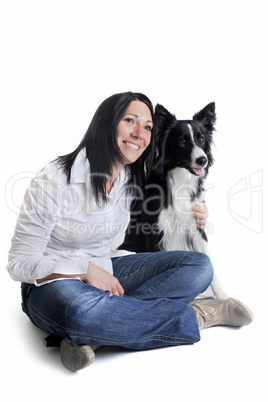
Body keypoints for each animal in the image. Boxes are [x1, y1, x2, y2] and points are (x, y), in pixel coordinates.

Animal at [120, 102, 227, 300]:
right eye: (182, 141)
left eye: (201, 139)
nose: (202, 160)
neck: (180, 180)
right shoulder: (156, 230)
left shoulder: (195, 225)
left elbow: (208, 259)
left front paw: (223, 295)